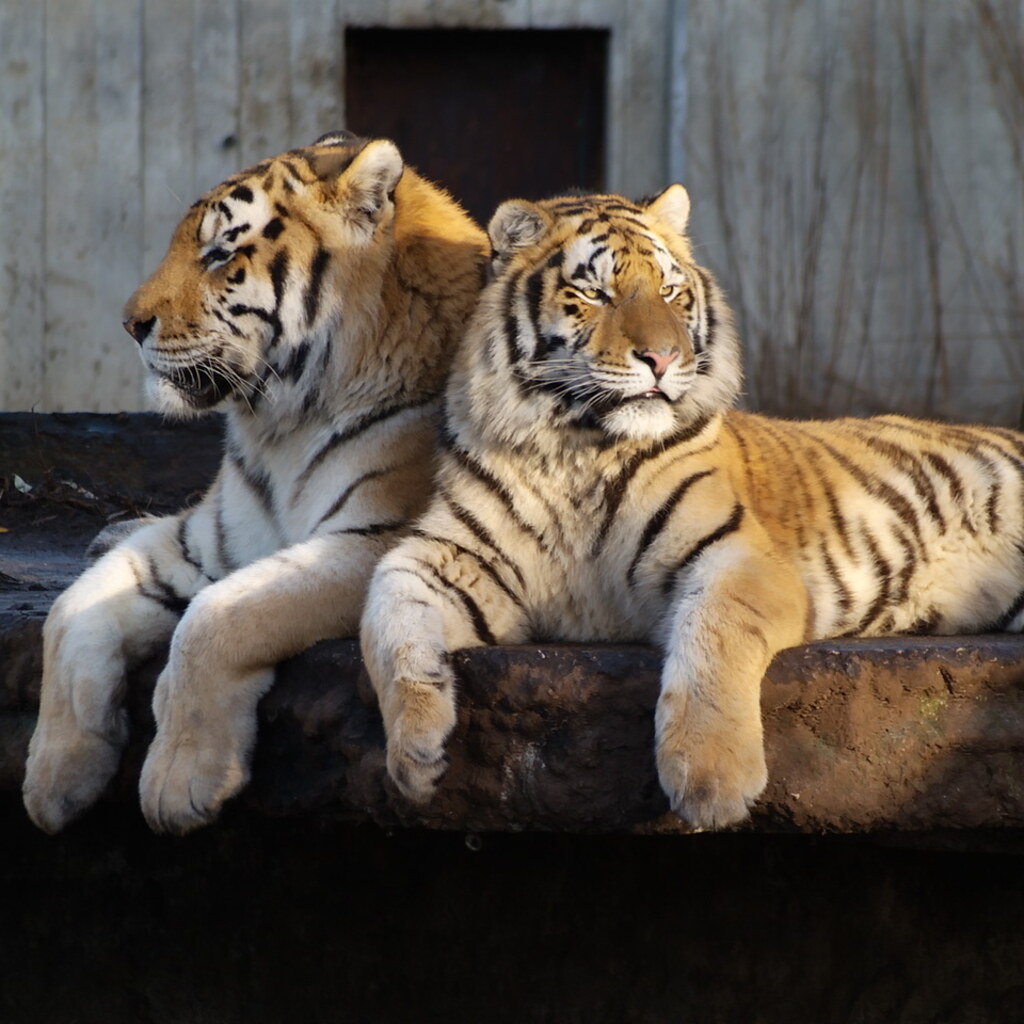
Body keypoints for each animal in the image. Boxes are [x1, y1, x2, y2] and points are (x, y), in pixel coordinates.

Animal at [23, 132, 487, 836]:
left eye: (220, 253)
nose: (130, 325)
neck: (281, 430)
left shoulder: (376, 538)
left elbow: (213, 618)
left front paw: (178, 783)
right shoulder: (202, 542)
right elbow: (69, 612)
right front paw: (54, 778)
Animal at [359, 185, 1024, 831]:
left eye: (671, 292)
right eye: (594, 293)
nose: (662, 359)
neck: (577, 448)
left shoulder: (735, 557)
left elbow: (712, 637)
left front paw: (712, 782)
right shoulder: (444, 556)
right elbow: (386, 626)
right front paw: (413, 757)